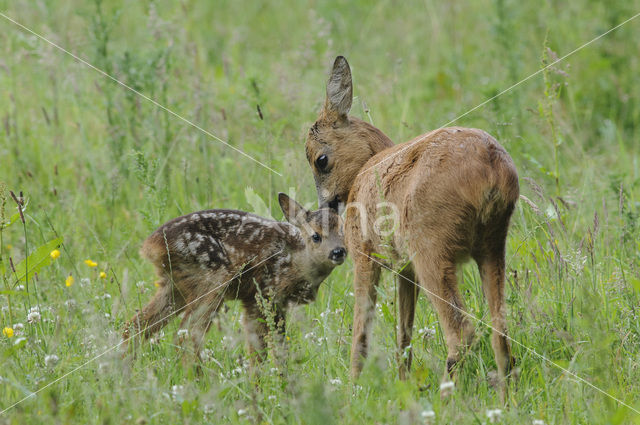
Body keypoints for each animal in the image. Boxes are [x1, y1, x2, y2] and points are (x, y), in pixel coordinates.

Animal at [304, 55, 520, 394]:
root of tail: (492, 171)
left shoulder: (365, 254)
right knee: (501, 331)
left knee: (462, 331)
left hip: (431, 247)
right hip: (493, 244)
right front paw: (402, 384)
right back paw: (505, 398)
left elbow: (361, 330)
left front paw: (353, 388)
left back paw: (445, 395)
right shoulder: (404, 269)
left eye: (320, 159)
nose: (326, 206)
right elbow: (403, 334)